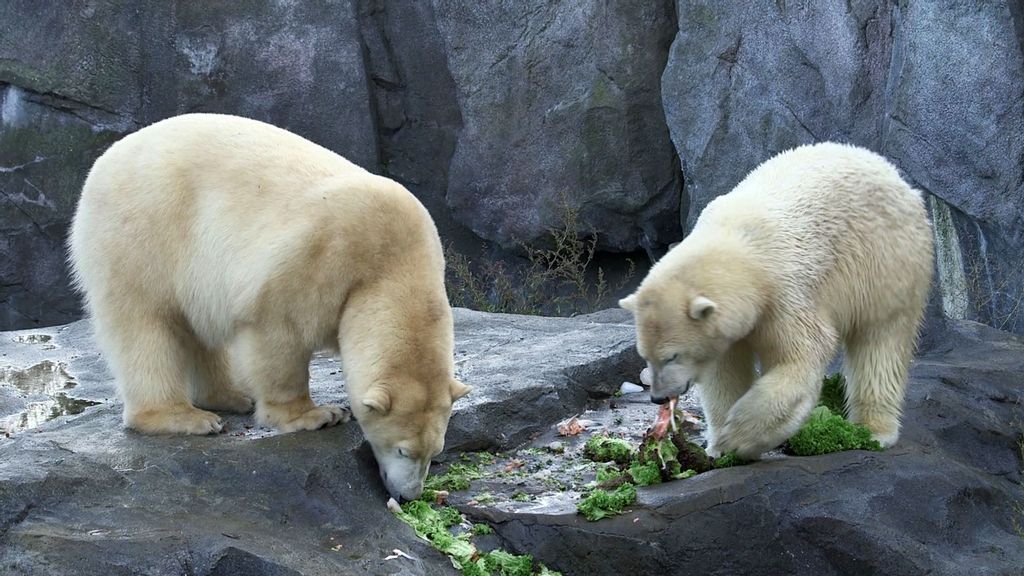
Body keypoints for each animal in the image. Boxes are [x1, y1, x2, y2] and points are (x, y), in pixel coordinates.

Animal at [68, 113, 470, 501]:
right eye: (403, 450)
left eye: (434, 453)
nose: (409, 495)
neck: (391, 260)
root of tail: (104, 161)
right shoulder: (317, 258)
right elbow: (281, 335)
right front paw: (319, 414)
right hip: (142, 234)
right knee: (145, 326)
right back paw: (185, 417)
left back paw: (232, 396)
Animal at [619, 142, 933, 459]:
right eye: (644, 355)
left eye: (672, 356)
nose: (658, 397)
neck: (740, 247)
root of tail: (893, 173)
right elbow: (725, 372)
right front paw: (719, 446)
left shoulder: (786, 292)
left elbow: (799, 357)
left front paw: (737, 437)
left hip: (888, 264)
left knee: (881, 344)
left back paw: (873, 430)